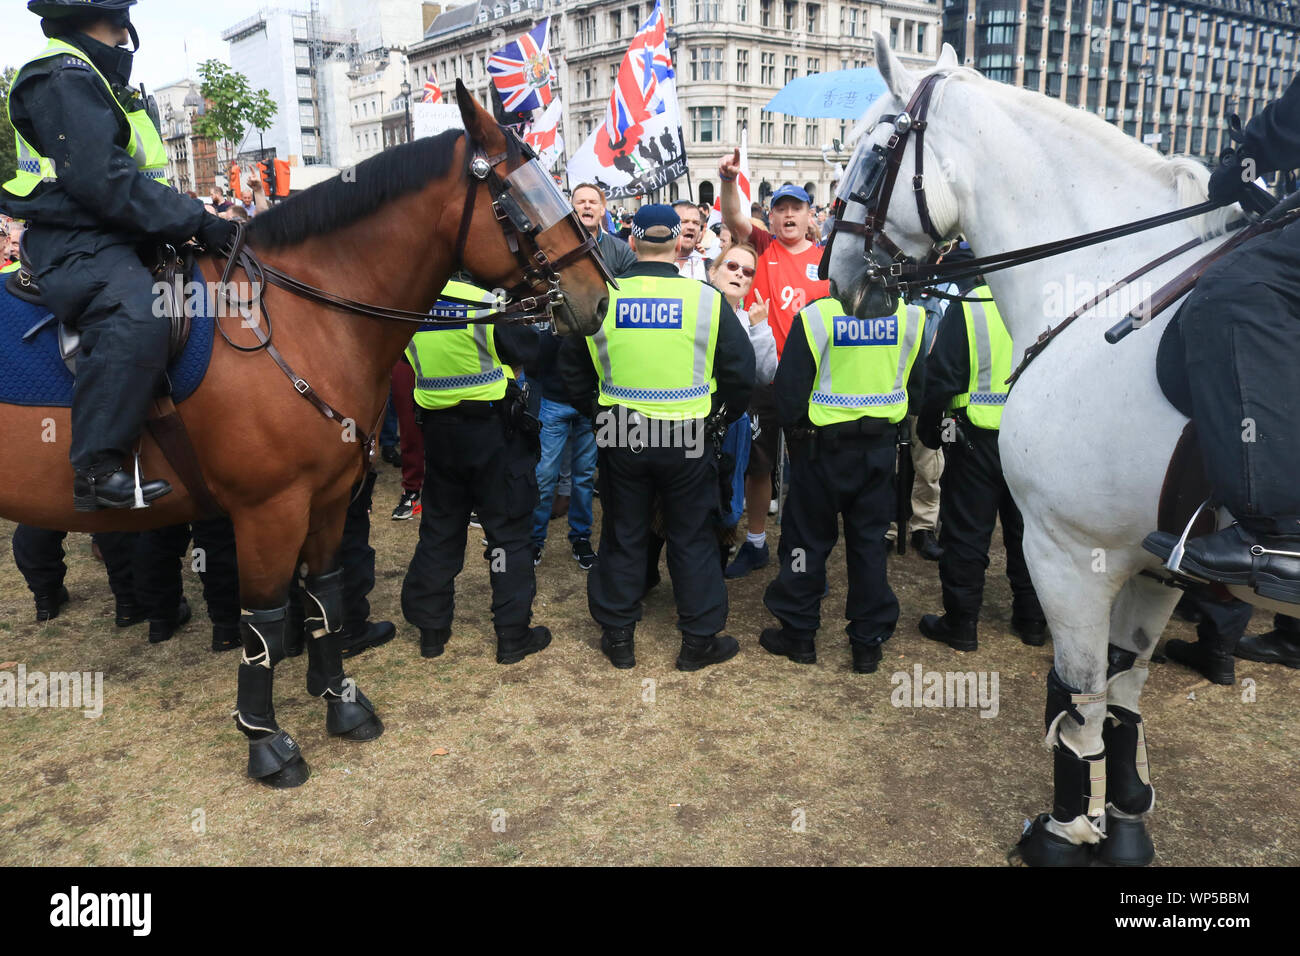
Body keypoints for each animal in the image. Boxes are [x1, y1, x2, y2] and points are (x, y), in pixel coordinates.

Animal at [0, 83, 611, 785]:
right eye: (518, 198)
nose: (598, 297)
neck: (304, 317)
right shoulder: (268, 510)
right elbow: (262, 622)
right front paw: (266, 741)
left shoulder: (326, 497)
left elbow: (324, 596)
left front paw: (341, 704)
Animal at [821, 33, 1258, 863]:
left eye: (869, 153)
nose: (838, 273)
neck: (1106, 296)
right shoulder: (1160, 561)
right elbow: (1124, 691)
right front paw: (1126, 819)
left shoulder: (1068, 554)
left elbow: (1080, 700)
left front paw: (1064, 830)